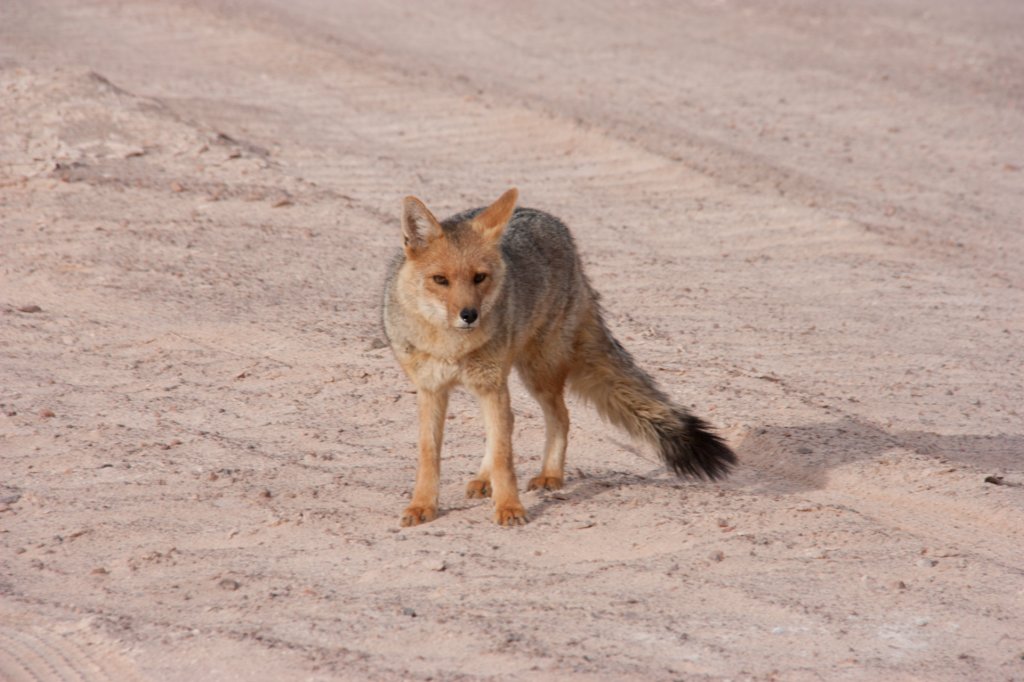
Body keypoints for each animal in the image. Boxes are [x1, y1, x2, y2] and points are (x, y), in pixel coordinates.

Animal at [380, 187, 733, 524]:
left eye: (479, 277)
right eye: (440, 280)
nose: (469, 315)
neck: (452, 347)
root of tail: (552, 221)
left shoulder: (491, 386)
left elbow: (505, 457)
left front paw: (509, 508)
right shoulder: (431, 390)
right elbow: (430, 455)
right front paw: (422, 506)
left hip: (536, 374)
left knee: (558, 417)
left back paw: (550, 474)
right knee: (510, 424)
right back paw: (484, 479)